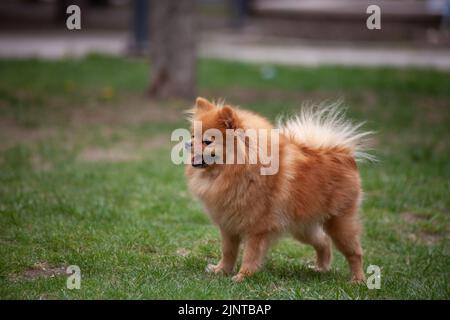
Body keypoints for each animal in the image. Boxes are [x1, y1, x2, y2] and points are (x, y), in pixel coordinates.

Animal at [184, 97, 372, 282]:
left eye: (207, 141)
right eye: (193, 136)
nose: (188, 144)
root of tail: (342, 153)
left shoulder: (257, 228)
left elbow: (250, 254)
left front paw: (243, 276)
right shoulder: (228, 226)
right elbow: (228, 251)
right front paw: (221, 270)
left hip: (340, 224)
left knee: (355, 252)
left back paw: (358, 280)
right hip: (303, 227)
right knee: (324, 241)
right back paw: (321, 268)